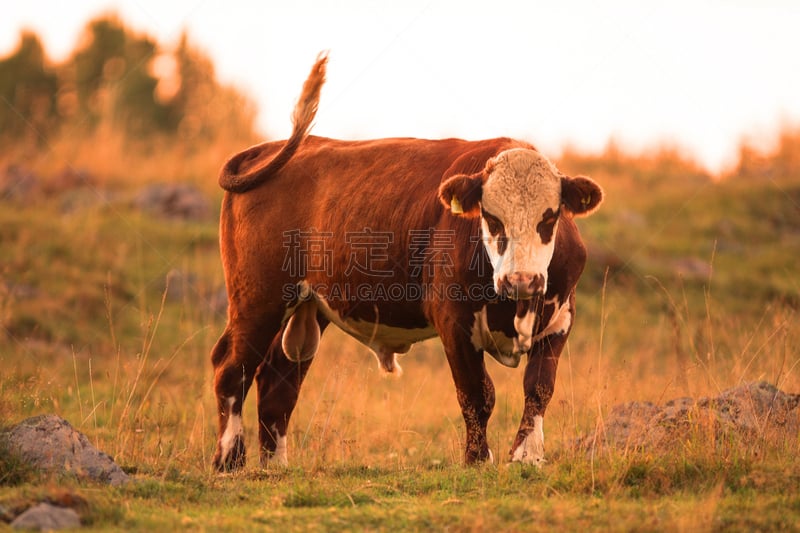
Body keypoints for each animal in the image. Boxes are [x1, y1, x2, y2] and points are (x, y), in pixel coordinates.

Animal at [211, 54, 600, 470]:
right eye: (491, 218)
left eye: (550, 217)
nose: (521, 280)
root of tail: (271, 148)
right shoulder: (452, 321)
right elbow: (477, 394)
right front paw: (478, 459)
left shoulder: (560, 319)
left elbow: (539, 387)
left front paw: (528, 455)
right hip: (258, 298)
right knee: (231, 368)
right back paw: (229, 460)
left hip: (307, 305)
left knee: (277, 382)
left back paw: (276, 465)